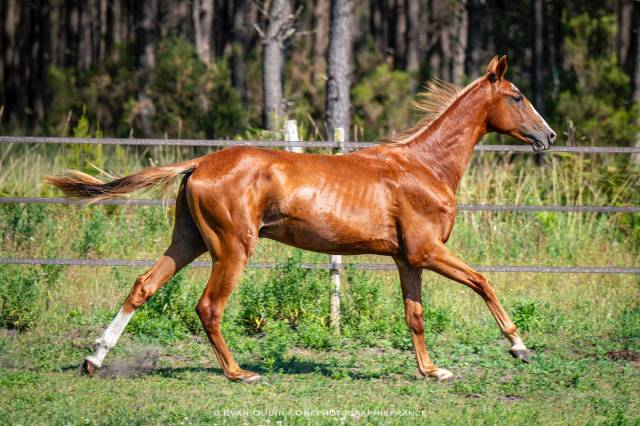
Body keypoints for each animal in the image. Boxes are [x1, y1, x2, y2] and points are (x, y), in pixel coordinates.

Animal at [47, 55, 556, 384]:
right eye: (517, 96)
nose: (548, 136)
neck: (425, 167)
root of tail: (199, 164)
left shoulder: (407, 258)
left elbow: (414, 315)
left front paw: (432, 371)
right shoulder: (429, 251)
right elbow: (483, 281)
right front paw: (519, 347)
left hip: (188, 241)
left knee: (143, 286)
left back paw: (94, 360)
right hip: (232, 248)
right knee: (208, 307)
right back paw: (240, 373)